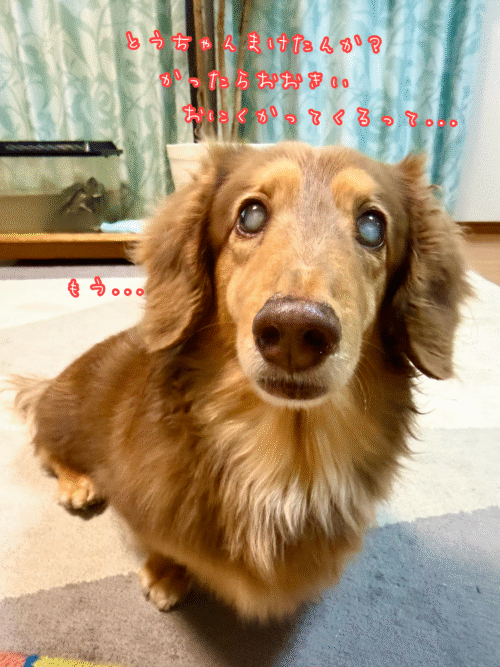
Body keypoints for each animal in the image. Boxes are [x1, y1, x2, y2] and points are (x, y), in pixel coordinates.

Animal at [12, 141, 471, 622]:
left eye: (372, 226)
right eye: (250, 215)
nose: (294, 331)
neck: (285, 457)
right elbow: (162, 543)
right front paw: (165, 573)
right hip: (67, 421)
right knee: (44, 447)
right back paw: (77, 484)